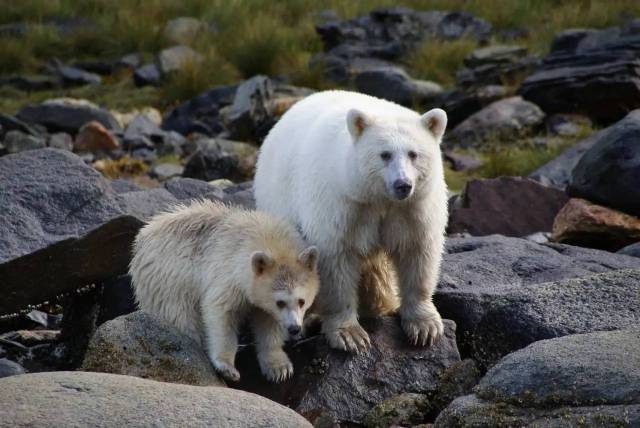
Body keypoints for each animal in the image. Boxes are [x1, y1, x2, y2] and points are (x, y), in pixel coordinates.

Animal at [129, 199, 318, 382]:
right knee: (180, 316)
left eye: (302, 301)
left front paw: (279, 368)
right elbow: (221, 313)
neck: (264, 236)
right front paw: (227, 367)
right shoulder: (228, 272)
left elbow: (268, 322)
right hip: (168, 281)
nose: (294, 328)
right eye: (280, 302)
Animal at [252, 89, 448, 352]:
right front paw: (349, 334)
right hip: (279, 201)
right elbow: (335, 259)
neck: (378, 199)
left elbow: (418, 252)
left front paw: (425, 326)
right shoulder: (342, 203)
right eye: (384, 155)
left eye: (414, 154)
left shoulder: (412, 209)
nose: (403, 184)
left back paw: (381, 303)